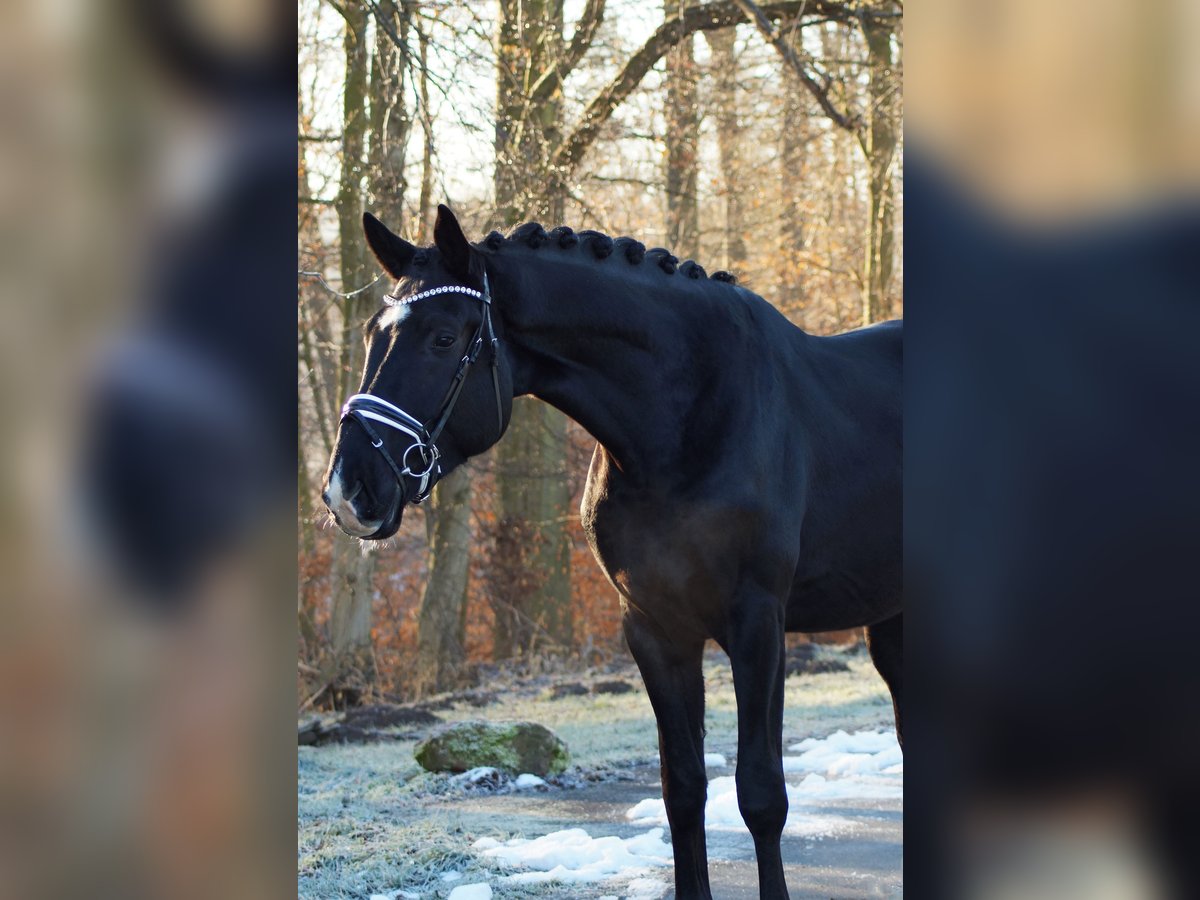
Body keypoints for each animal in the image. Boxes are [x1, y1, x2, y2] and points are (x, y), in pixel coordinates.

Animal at [321, 206, 902, 900]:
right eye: (371, 335)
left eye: (440, 338)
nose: (349, 489)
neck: (683, 423)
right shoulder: (654, 629)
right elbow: (683, 790)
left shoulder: (759, 624)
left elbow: (762, 794)